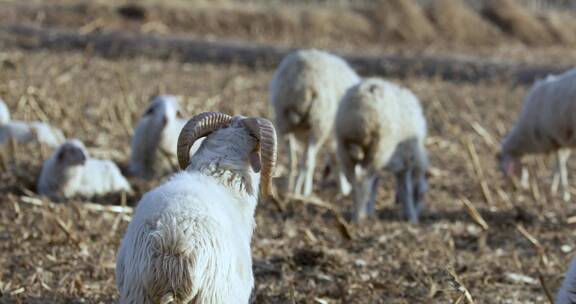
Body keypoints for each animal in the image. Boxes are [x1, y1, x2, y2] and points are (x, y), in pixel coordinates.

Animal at [270, 48, 360, 196]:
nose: (349, 189)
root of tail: (300, 84)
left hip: (283, 122)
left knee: (292, 160)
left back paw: (289, 189)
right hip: (318, 123)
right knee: (309, 161)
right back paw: (304, 192)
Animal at [336, 77, 430, 222]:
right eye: (422, 195)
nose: (419, 214)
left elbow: (375, 186)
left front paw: (370, 211)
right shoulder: (406, 163)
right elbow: (405, 191)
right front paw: (412, 218)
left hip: (344, 146)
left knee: (354, 182)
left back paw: (356, 214)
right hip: (379, 148)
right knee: (363, 182)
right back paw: (359, 217)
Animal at [498, 68, 576, 202]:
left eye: (503, 165)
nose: (512, 188)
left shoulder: (554, 137)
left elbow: (561, 166)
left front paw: (563, 194)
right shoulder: (562, 140)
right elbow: (560, 165)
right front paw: (554, 188)